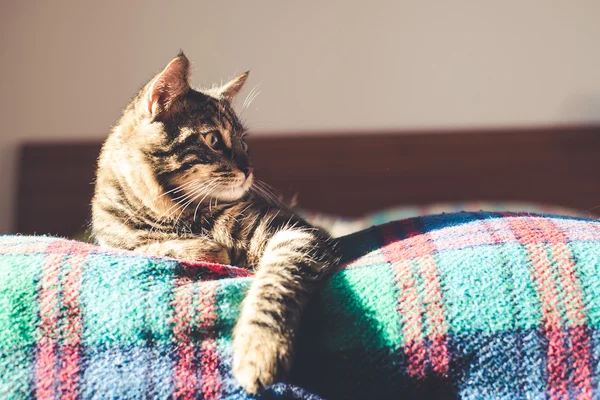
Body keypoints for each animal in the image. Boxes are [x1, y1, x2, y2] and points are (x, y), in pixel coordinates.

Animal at [91, 51, 340, 392]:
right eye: (213, 140)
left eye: (245, 143)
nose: (249, 169)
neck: (184, 217)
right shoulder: (113, 239)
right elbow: (149, 246)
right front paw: (204, 249)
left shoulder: (296, 232)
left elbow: (273, 285)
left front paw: (260, 350)